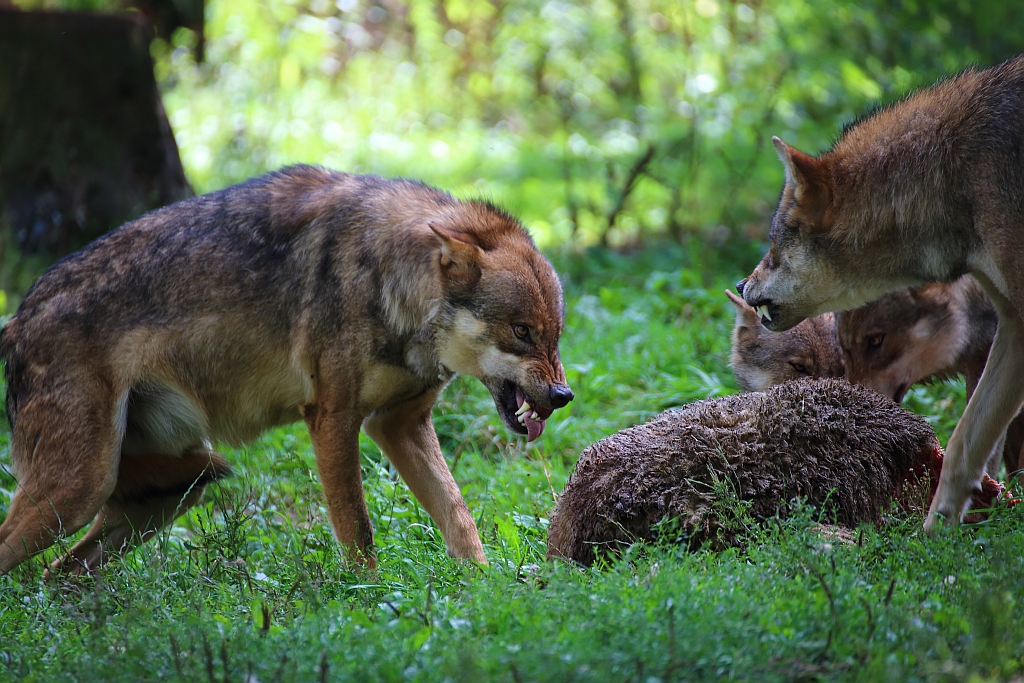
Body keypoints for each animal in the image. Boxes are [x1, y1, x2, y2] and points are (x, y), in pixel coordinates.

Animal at [0, 166, 577, 577]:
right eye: (521, 331)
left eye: (554, 335)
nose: (563, 395)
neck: (392, 277)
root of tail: (17, 320)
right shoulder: (333, 419)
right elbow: (359, 531)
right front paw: (367, 603)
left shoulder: (398, 424)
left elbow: (459, 515)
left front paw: (485, 588)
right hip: (80, 490)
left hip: (179, 486)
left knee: (59, 575)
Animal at [741, 56, 1024, 532]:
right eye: (845, 351)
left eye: (776, 244)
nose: (743, 286)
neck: (957, 174)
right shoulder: (1013, 323)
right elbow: (964, 442)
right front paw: (938, 533)